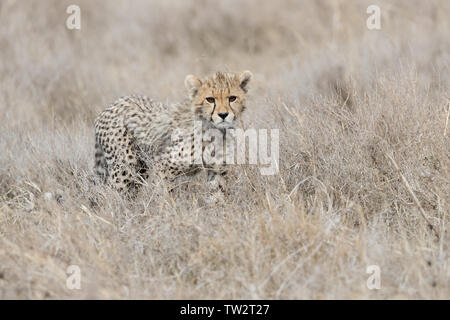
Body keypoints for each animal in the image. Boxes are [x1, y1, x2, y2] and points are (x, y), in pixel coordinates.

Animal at [94, 71, 253, 194]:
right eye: (210, 99)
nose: (223, 115)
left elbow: (217, 196)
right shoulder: (163, 166)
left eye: (232, 98)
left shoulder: (217, 171)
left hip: (141, 167)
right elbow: (164, 195)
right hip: (126, 167)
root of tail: (112, 104)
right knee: (112, 193)